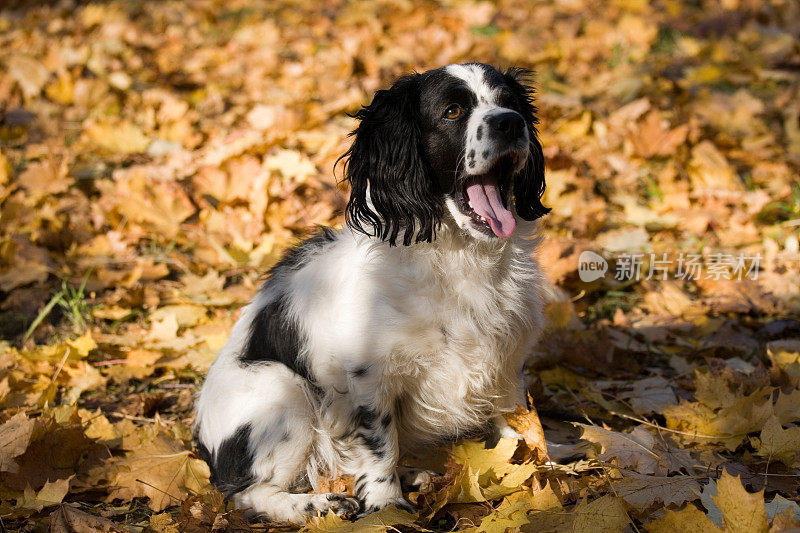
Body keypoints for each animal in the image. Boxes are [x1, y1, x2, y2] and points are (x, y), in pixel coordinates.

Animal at [194, 63, 552, 524]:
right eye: (452, 111)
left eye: (510, 103)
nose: (511, 122)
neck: (460, 258)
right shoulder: (370, 374)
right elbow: (380, 445)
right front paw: (386, 508)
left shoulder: (506, 359)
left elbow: (513, 422)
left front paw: (523, 474)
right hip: (282, 390)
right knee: (247, 493)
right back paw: (319, 504)